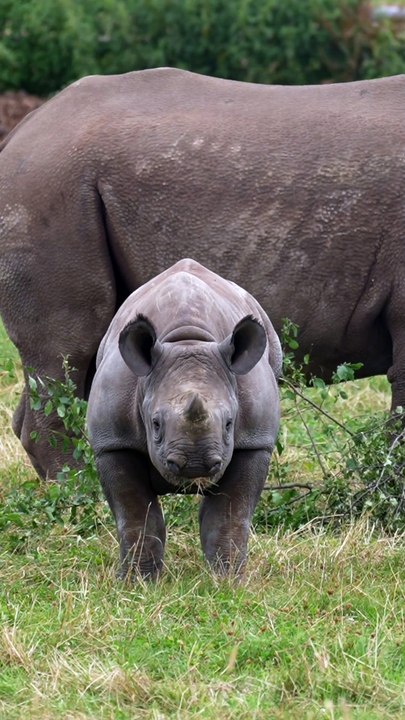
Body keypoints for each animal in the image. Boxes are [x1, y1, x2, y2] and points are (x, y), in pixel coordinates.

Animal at [86, 259, 281, 578]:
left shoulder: (255, 440)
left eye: (230, 424)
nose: (196, 464)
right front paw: (137, 582)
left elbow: (230, 515)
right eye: (155, 425)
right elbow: (136, 516)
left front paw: (227, 580)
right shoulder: (114, 441)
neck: (188, 341)